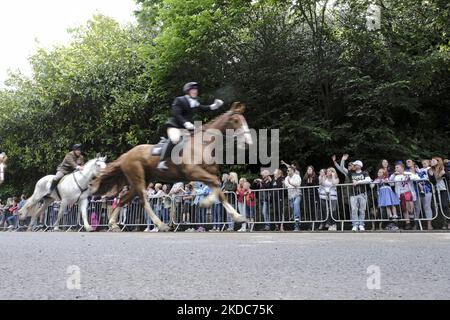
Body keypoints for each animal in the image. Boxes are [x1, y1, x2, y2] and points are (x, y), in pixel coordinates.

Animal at [90, 102, 253, 230]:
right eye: (236, 120)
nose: (248, 142)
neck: (203, 144)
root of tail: (126, 155)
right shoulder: (194, 172)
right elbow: (217, 184)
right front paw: (206, 202)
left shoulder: (207, 173)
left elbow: (219, 190)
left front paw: (238, 216)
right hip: (138, 178)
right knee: (143, 200)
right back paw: (161, 225)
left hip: (141, 180)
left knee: (124, 199)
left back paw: (113, 224)